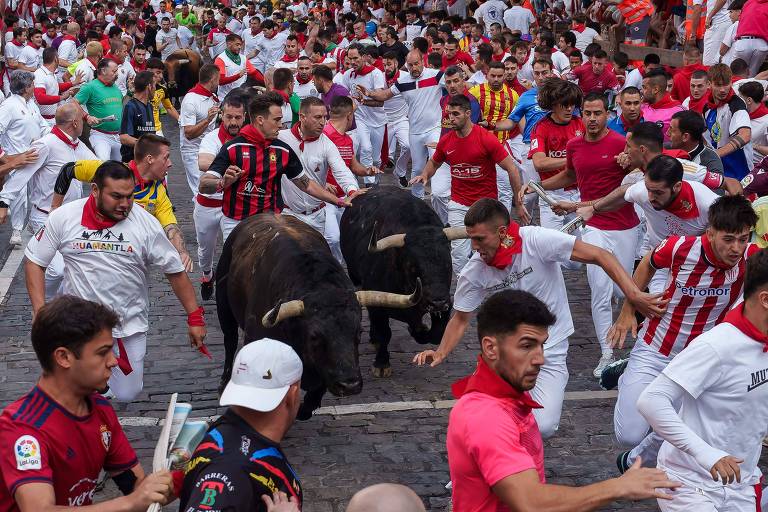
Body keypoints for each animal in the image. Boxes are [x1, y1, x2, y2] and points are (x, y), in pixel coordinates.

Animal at [214, 214, 420, 418]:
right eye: (314, 336)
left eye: (359, 332)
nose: (349, 384)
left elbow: (314, 394)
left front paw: (301, 409)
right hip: (223, 307)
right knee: (229, 341)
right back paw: (224, 383)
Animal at [340, 187, 468, 376]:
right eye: (414, 266)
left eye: (447, 263)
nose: (438, 302)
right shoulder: (377, 303)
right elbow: (384, 333)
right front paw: (381, 364)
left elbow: (436, 334)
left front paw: (421, 329)